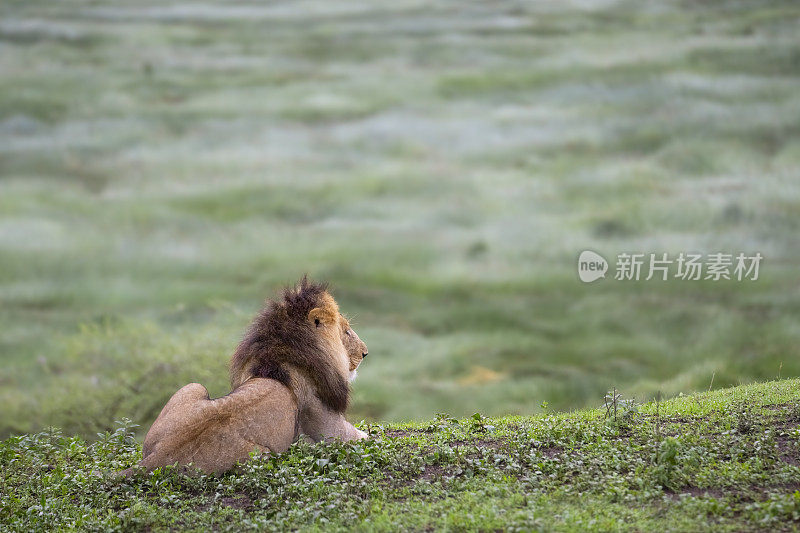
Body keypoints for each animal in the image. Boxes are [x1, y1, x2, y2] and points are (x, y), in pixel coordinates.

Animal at [130, 278, 368, 474]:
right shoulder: (328, 426)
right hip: (263, 455)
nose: (366, 352)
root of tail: (159, 456)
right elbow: (363, 437)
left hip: (193, 386)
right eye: (347, 331)